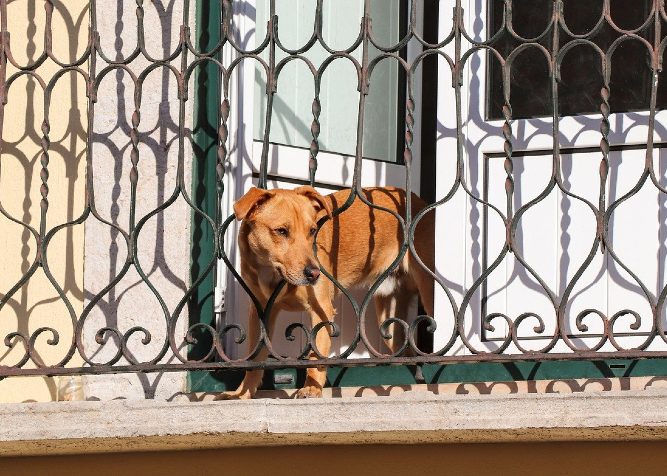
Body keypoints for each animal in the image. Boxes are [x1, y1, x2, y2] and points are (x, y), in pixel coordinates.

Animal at [222, 186, 436, 398]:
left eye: (312, 231)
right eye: (281, 231)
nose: (314, 273)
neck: (272, 273)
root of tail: (419, 201)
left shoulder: (322, 310)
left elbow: (315, 355)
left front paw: (311, 388)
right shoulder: (260, 312)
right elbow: (254, 358)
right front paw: (242, 393)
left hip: (428, 292)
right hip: (388, 315)